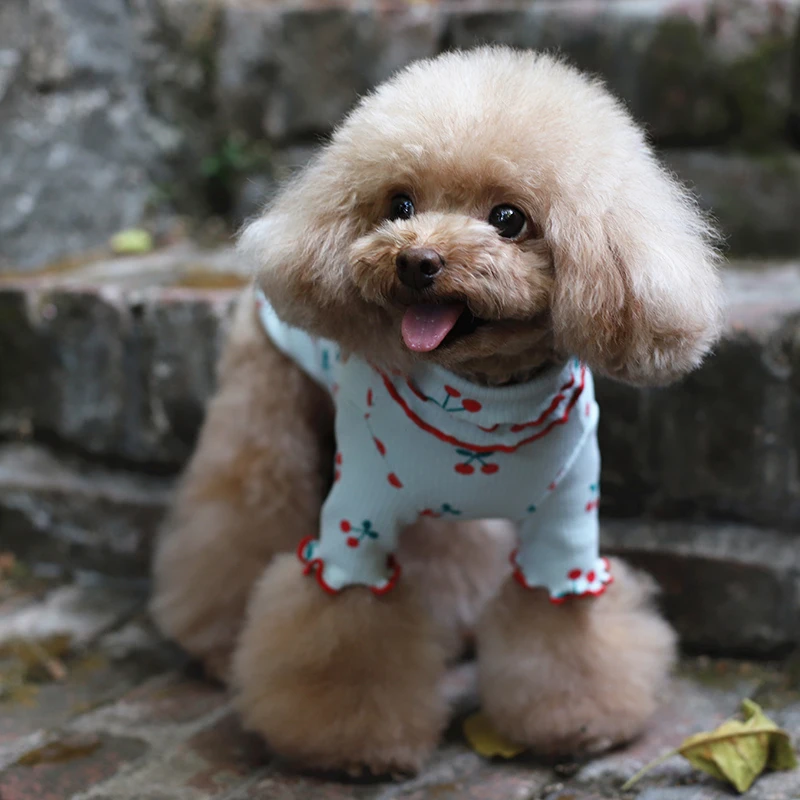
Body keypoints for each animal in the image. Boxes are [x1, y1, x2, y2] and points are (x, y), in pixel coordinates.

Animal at [151, 46, 723, 775]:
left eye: (509, 218)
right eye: (399, 203)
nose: (416, 259)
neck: (482, 403)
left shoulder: (566, 528)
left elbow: (561, 629)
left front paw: (576, 720)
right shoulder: (356, 521)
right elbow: (346, 630)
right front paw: (348, 740)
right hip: (264, 410)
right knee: (235, 518)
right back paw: (216, 641)